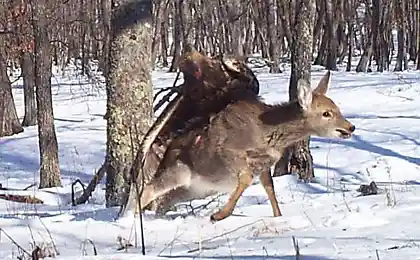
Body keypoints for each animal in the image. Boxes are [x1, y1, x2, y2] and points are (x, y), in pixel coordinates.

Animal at [132, 71, 354, 221]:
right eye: (326, 113)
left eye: (337, 108)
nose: (350, 127)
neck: (268, 134)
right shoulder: (229, 151)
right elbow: (246, 179)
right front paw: (219, 215)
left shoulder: (264, 164)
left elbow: (269, 188)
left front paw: (278, 216)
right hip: (178, 171)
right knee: (149, 189)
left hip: (195, 189)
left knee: (163, 202)